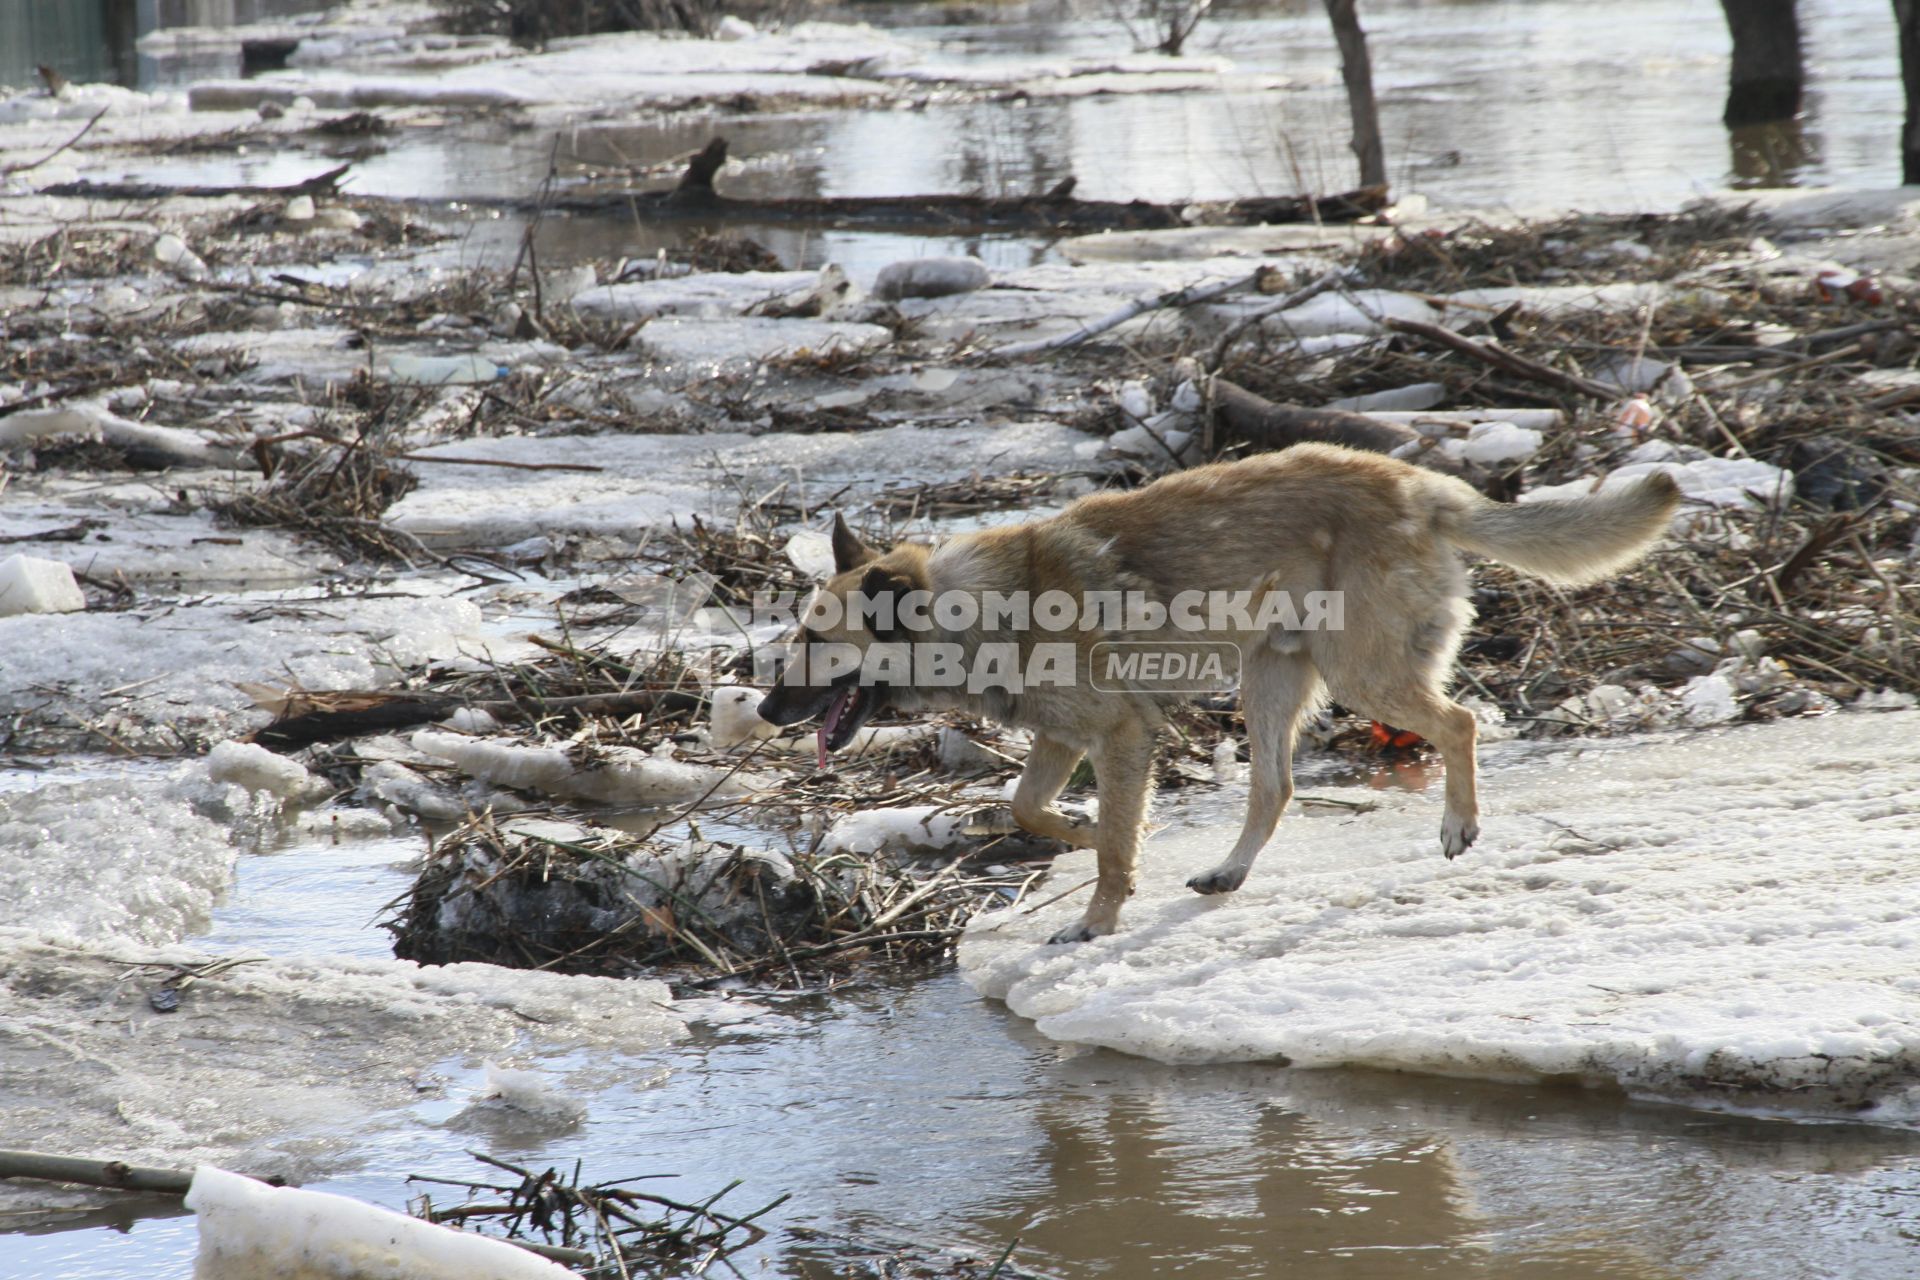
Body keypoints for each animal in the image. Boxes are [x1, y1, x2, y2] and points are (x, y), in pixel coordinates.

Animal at [756, 445, 1674, 948]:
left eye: (815, 643)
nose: (764, 712)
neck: (976, 609)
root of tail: (1419, 485)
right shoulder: (1065, 737)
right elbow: (1029, 807)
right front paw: (1089, 834)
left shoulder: (1120, 732)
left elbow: (1108, 847)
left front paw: (1096, 918)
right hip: (1270, 680)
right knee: (1276, 786)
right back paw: (1230, 871)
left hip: (1360, 674)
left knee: (1461, 721)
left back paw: (1458, 824)